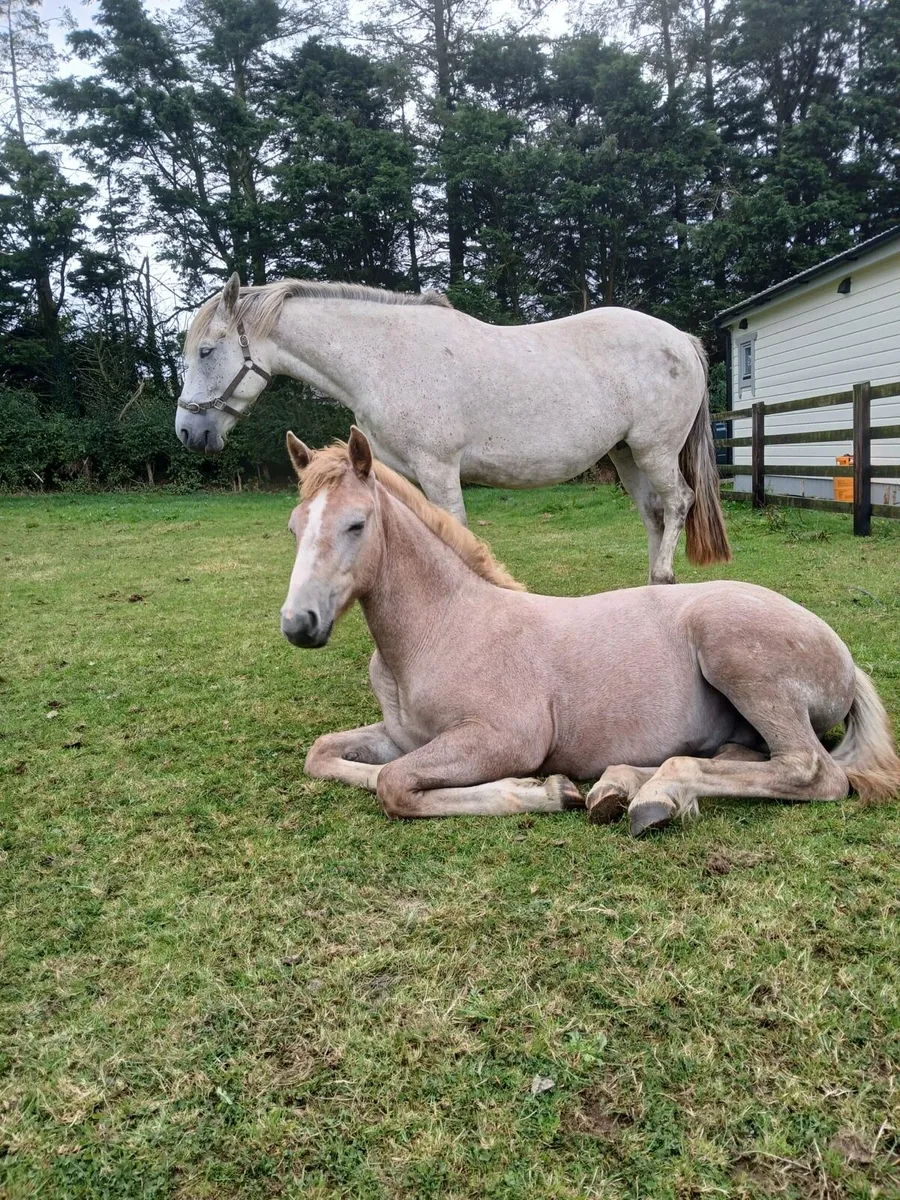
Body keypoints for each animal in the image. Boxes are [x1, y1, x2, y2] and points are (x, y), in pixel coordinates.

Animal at [176, 273, 731, 584]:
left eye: (206, 351)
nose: (187, 431)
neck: (384, 357)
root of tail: (681, 340)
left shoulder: (439, 469)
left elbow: (456, 533)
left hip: (655, 451)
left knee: (678, 503)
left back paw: (664, 574)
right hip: (625, 454)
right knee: (653, 514)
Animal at [278, 429, 900, 834]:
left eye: (356, 524)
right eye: (293, 527)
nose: (298, 624)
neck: (444, 627)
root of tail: (844, 658)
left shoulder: (507, 738)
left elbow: (394, 785)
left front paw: (544, 791)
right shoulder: (403, 735)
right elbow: (327, 756)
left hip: (735, 655)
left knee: (809, 770)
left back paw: (654, 796)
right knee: (740, 756)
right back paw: (623, 787)